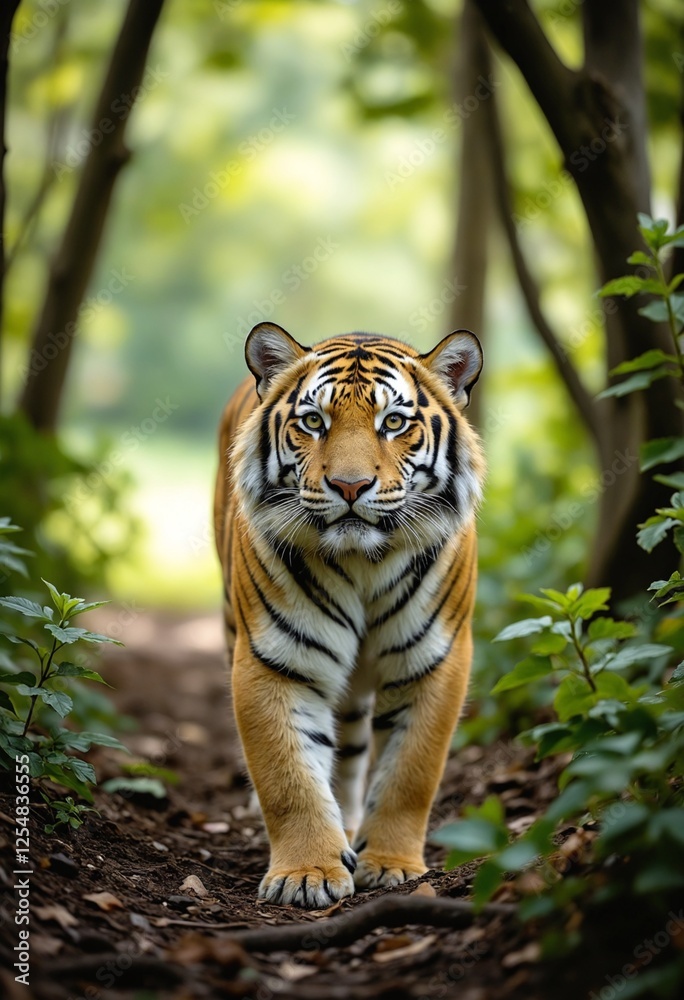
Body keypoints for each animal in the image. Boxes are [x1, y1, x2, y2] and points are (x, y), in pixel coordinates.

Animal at [214, 321, 484, 909]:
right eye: (314, 422)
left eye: (394, 423)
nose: (351, 486)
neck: (362, 562)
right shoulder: (274, 660)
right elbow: (288, 776)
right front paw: (307, 873)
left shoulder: (435, 660)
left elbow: (410, 773)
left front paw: (391, 865)